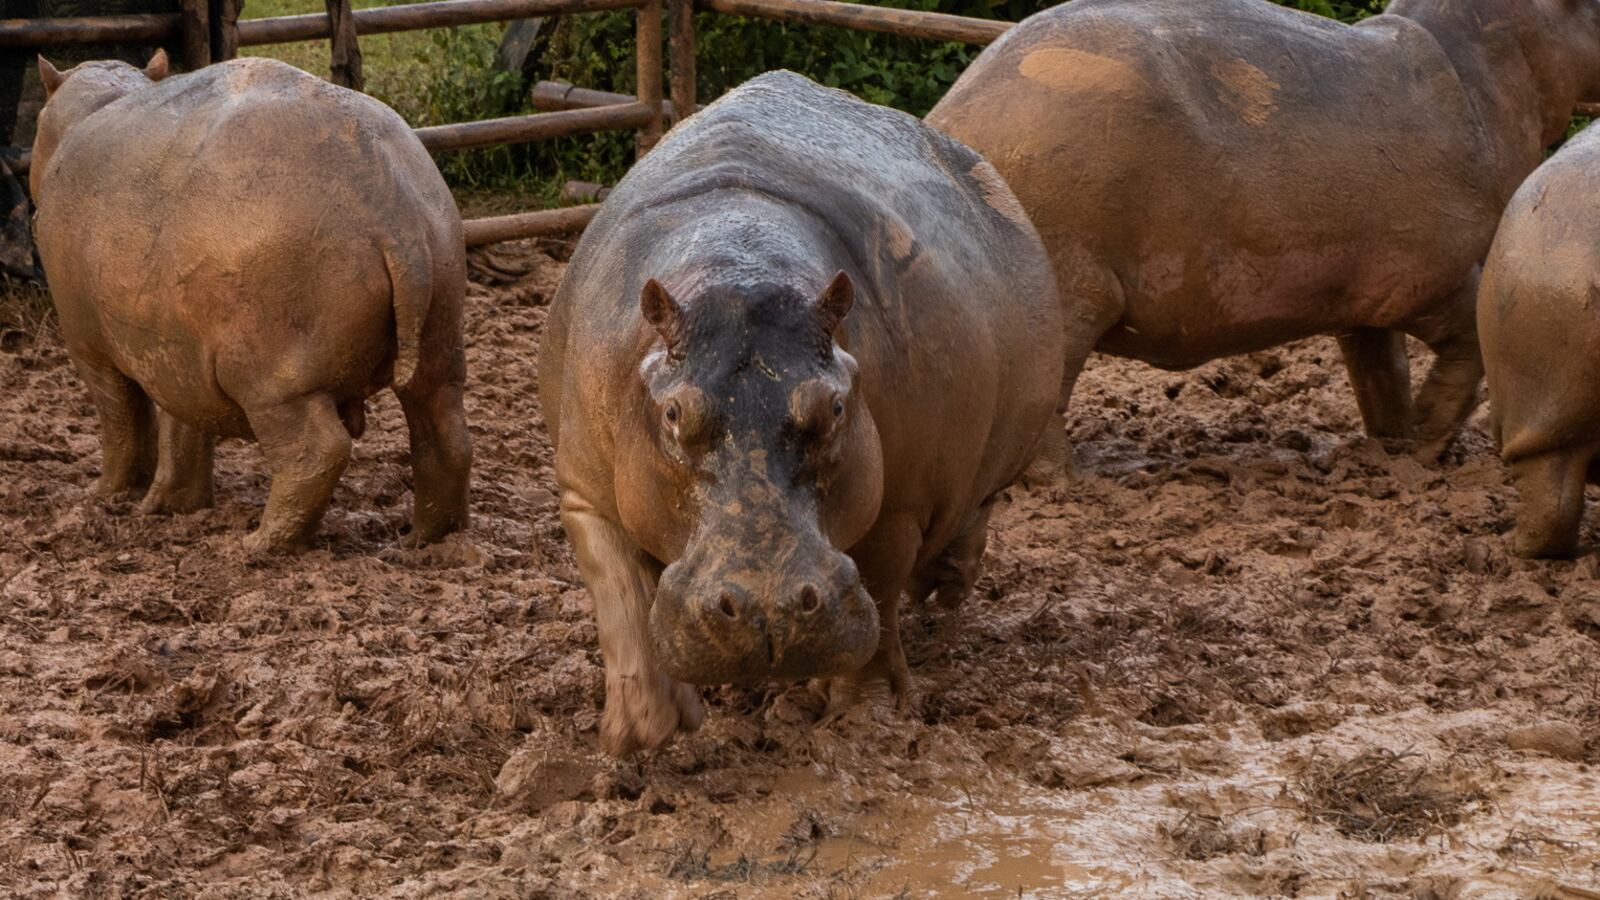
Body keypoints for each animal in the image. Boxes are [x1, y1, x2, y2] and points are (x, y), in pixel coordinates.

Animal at [31, 52, 471, 553]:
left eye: (37, 122)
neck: (93, 105)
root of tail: (394, 215)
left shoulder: (90, 346)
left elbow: (123, 420)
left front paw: (106, 496)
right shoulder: (178, 352)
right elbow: (183, 429)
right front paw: (172, 506)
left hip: (274, 378)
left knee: (317, 452)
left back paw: (257, 544)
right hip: (440, 334)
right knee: (446, 435)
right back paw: (423, 539)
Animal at [539, 71, 1073, 756]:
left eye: (836, 405)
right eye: (673, 414)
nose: (767, 608)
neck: (736, 263)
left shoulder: (898, 503)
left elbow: (879, 596)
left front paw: (865, 719)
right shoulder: (585, 491)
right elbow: (622, 600)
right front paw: (642, 734)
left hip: (993, 453)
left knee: (972, 510)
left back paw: (940, 591)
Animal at [928, 0, 1600, 466]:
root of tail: (951, 117)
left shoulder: (1365, 300)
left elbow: (1382, 374)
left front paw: (1392, 449)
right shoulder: (1439, 277)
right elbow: (1469, 348)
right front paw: (1428, 448)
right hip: (1069, 288)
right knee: (1045, 398)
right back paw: (1066, 484)